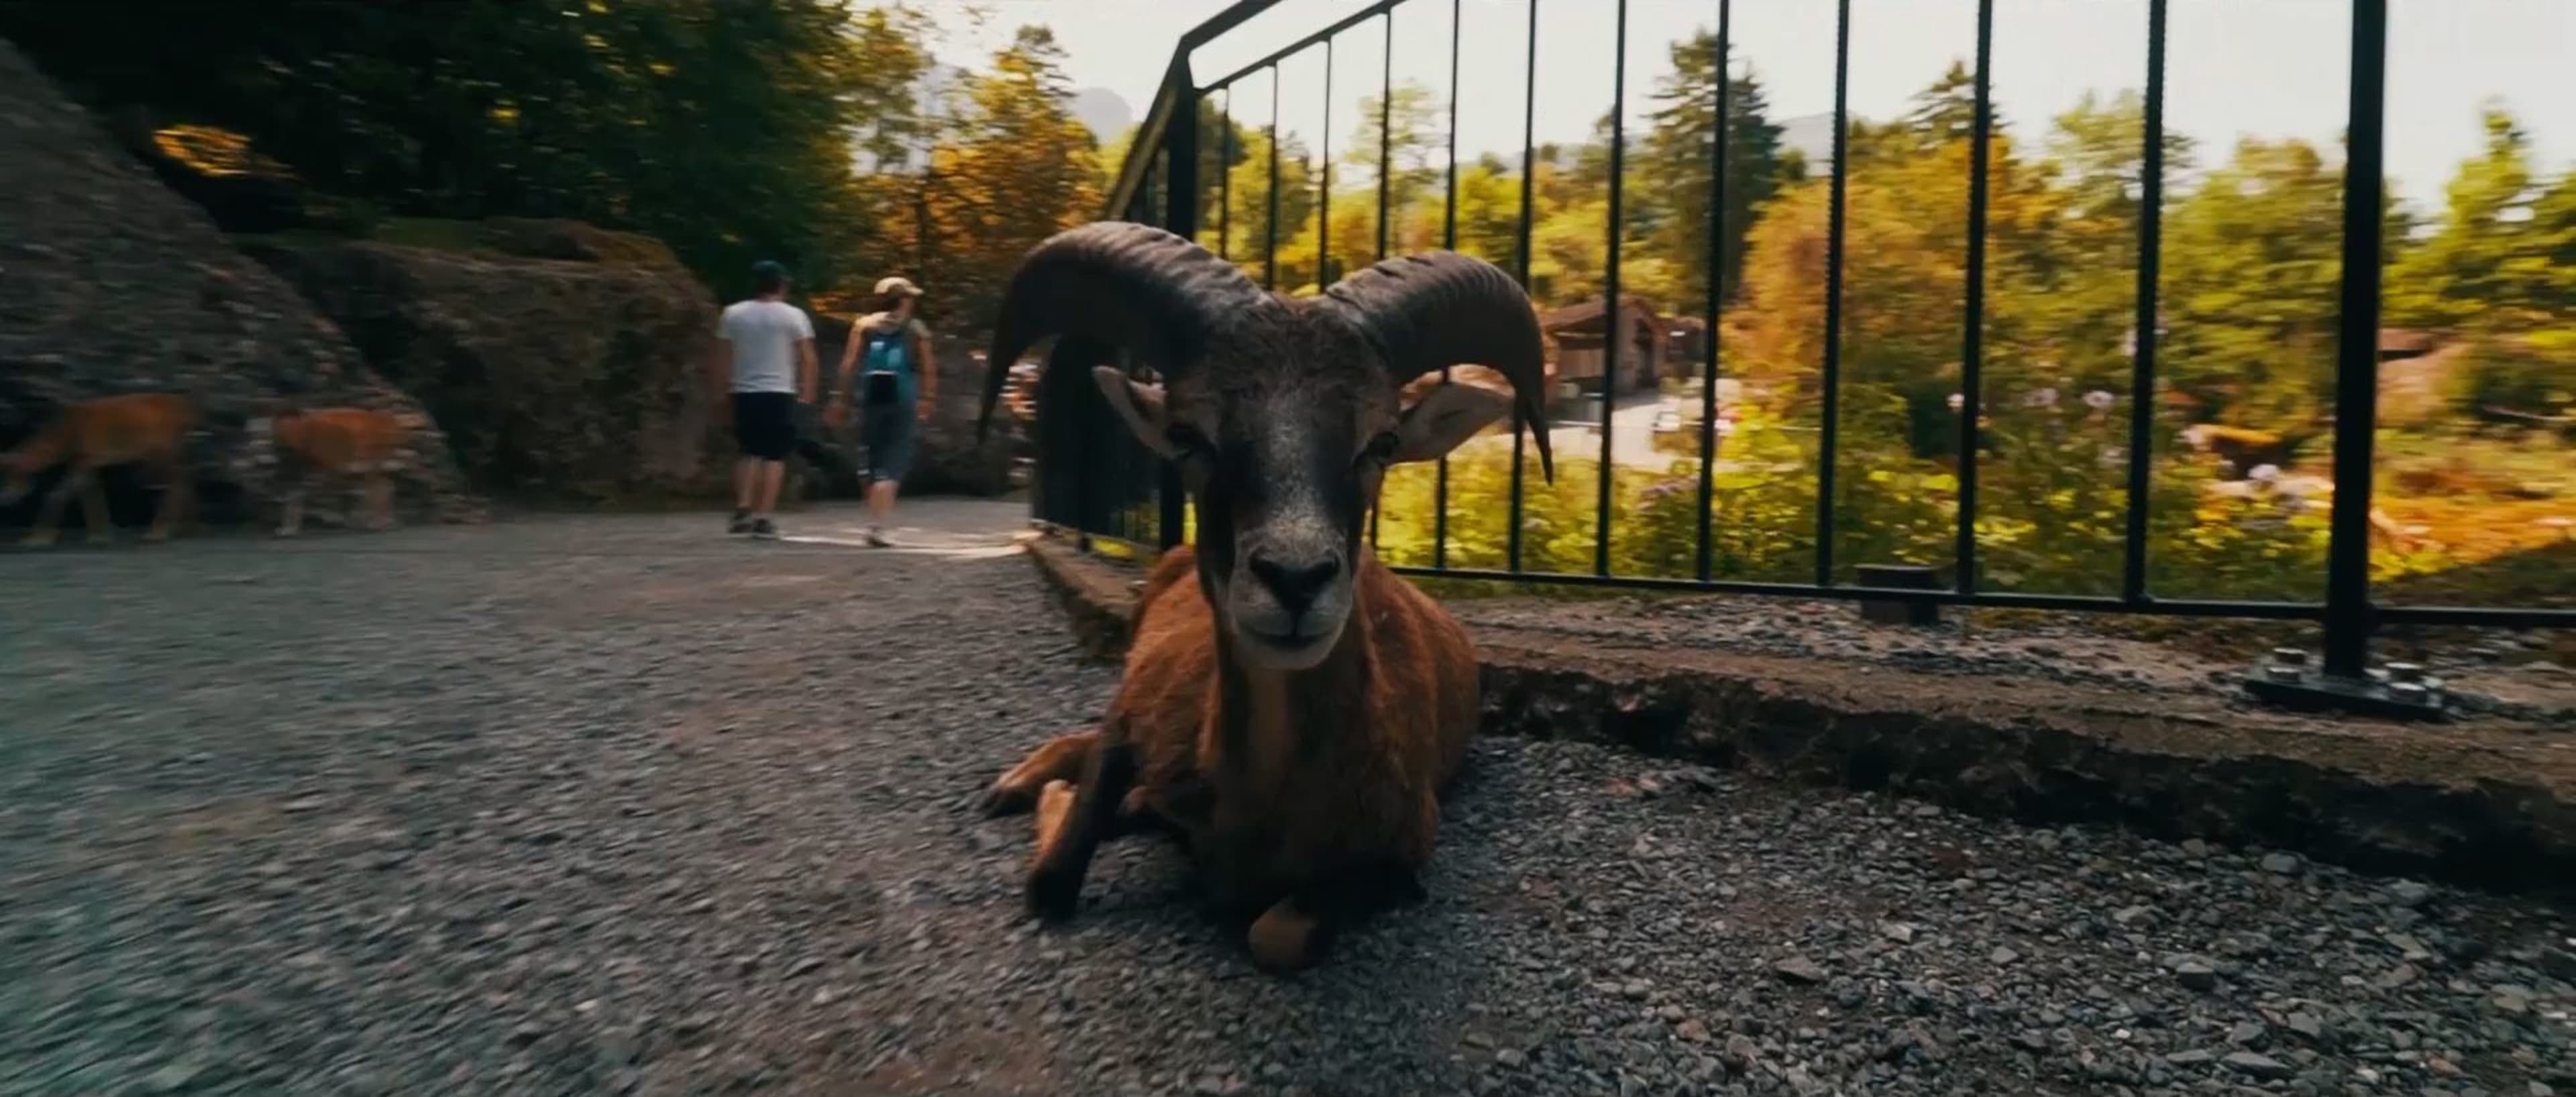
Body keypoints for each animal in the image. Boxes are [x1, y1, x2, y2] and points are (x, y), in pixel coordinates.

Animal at [0, 394, 198, 548]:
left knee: (177, 482)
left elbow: (59, 494)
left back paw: (160, 532)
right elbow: (92, 495)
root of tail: (186, 408)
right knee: (184, 479)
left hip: (163, 450)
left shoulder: (84, 459)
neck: (62, 435)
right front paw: (100, 534)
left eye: (11, 476)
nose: (5, 498)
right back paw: (184, 527)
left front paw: (39, 538)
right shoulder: (88, 462)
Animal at [979, 219, 1556, 973]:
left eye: (1383, 441)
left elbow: (1276, 935)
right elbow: (1051, 876)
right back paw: (1017, 781)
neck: (1261, 799)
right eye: (1187, 434)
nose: (1295, 580)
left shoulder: (1400, 854)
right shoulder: (1132, 718)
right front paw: (1060, 796)